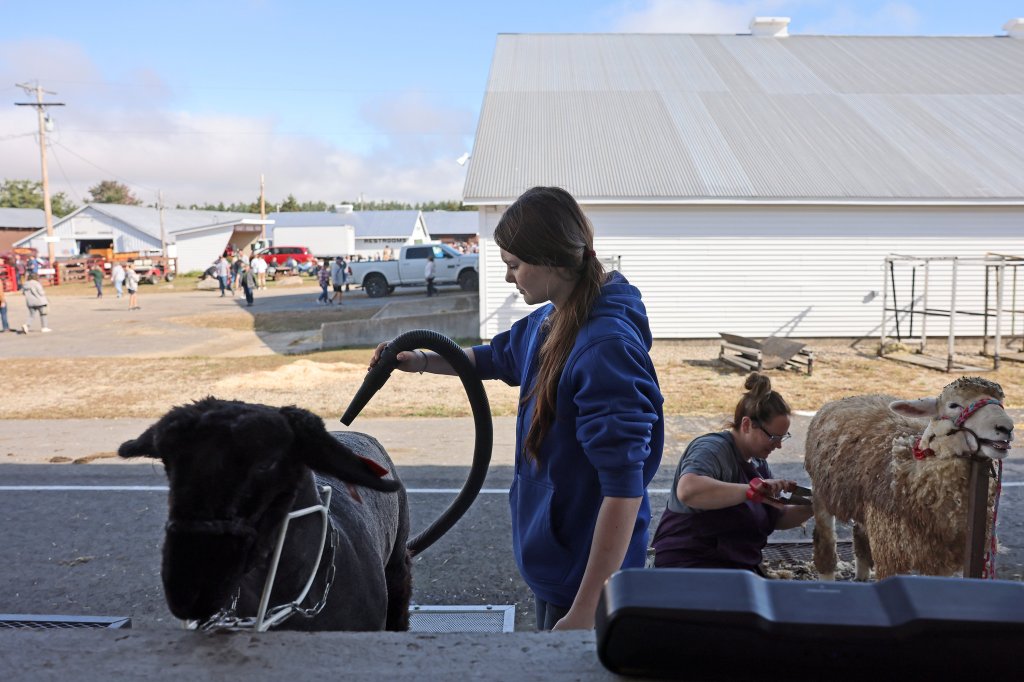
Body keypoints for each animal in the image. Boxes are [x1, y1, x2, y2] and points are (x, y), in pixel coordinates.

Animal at [806, 376, 1015, 577]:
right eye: (953, 405)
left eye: (1001, 401)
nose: (1006, 428)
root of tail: (852, 396)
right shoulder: (889, 552)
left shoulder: (943, 557)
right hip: (820, 491)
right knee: (824, 544)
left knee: (860, 537)